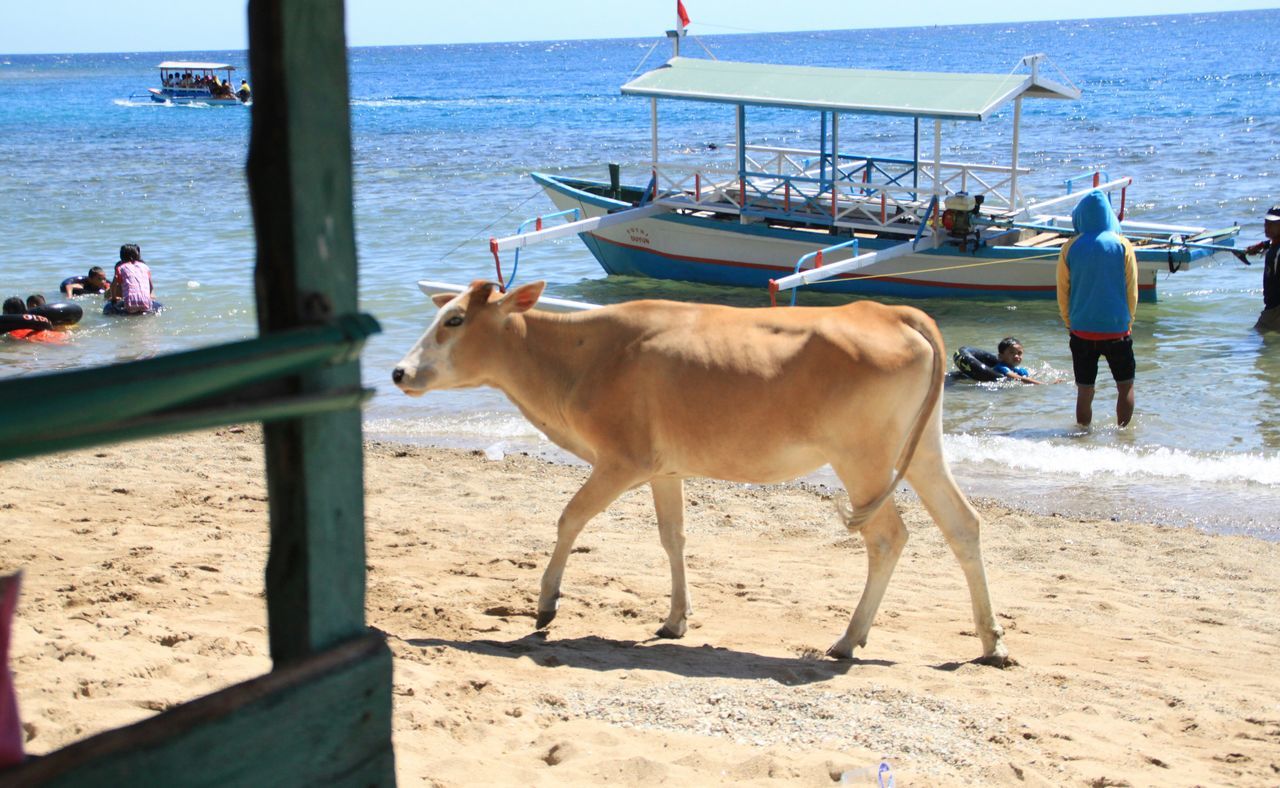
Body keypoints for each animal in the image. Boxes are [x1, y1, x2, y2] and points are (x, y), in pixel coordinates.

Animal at [389, 280, 1008, 660]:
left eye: (454, 319)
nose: (397, 371)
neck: (582, 354)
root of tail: (888, 310)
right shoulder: (665, 469)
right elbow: (673, 538)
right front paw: (675, 620)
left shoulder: (623, 460)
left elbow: (570, 519)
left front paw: (546, 604)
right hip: (921, 450)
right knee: (963, 525)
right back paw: (990, 642)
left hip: (863, 458)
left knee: (888, 536)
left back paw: (848, 639)